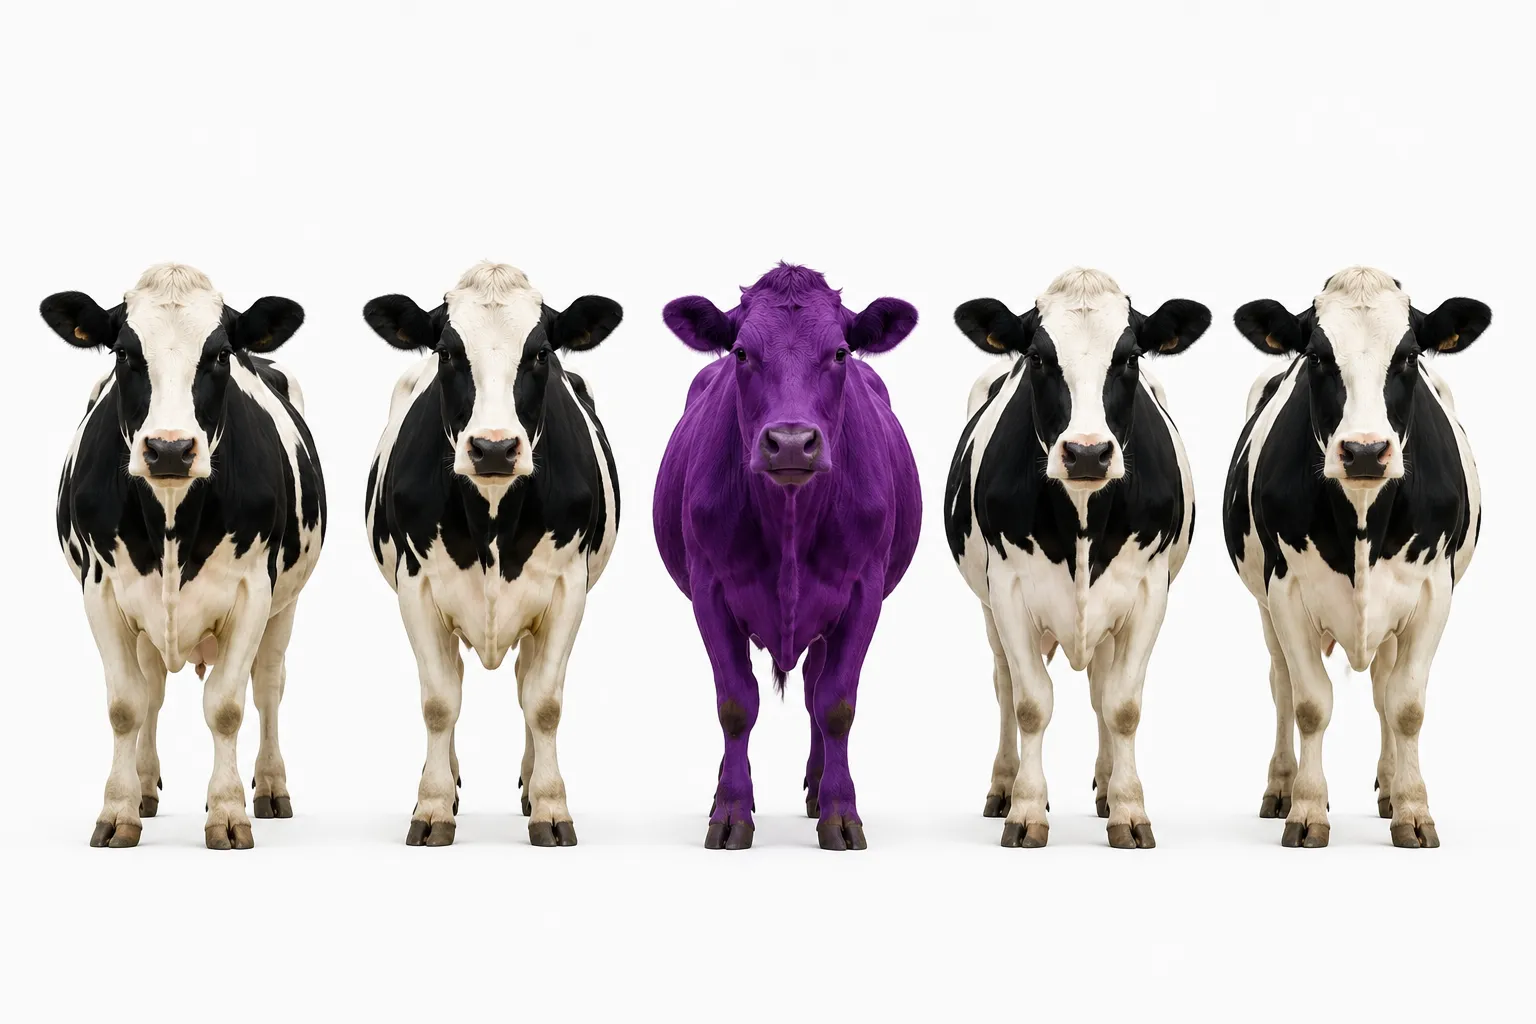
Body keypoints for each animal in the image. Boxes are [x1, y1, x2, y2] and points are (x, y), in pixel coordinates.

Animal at [45, 264, 326, 850]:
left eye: (218, 354)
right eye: (125, 353)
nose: (170, 449)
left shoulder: (253, 592)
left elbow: (227, 706)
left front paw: (228, 812)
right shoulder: (101, 590)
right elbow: (126, 705)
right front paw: (118, 811)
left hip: (285, 606)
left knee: (268, 687)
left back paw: (270, 788)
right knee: (152, 690)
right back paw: (145, 787)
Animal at [362, 262, 622, 848]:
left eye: (541, 352)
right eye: (447, 352)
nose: (495, 448)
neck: (493, 517)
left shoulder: (568, 588)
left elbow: (544, 703)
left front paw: (551, 807)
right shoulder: (417, 586)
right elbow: (439, 701)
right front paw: (433, 807)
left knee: (527, 683)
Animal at [655, 263, 920, 851]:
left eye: (840, 352)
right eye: (741, 353)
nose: (793, 442)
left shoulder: (863, 590)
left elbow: (835, 705)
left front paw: (840, 814)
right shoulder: (709, 589)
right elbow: (735, 703)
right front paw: (731, 812)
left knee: (815, 691)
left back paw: (818, 787)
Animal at [944, 269, 1210, 849]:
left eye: (1129, 356)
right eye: (1039, 357)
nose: (1087, 451)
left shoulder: (1149, 591)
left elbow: (1122, 706)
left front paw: (1129, 811)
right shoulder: (1008, 590)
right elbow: (1030, 703)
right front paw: (1026, 810)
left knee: (1100, 690)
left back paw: (1107, 785)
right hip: (987, 607)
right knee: (1004, 686)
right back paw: (1004, 786)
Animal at [1224, 267, 1488, 848]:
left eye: (1408, 355)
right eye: (1318, 356)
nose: (1365, 450)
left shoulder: (1433, 592)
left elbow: (1406, 705)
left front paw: (1413, 810)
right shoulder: (1286, 591)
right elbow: (1309, 703)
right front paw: (1306, 810)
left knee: (1383, 687)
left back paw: (1389, 787)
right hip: (1263, 606)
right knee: (1282, 684)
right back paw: (1281, 786)